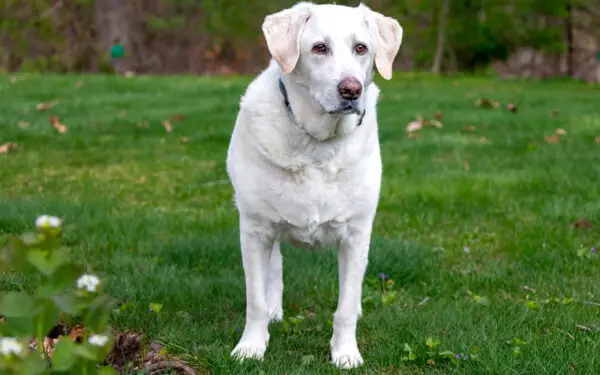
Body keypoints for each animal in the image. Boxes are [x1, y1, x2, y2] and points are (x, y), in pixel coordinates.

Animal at [226, 0, 404, 370]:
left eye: (361, 48)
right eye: (319, 48)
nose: (351, 90)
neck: (318, 145)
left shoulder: (356, 235)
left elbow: (346, 307)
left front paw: (345, 353)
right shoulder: (254, 230)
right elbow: (255, 299)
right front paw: (251, 347)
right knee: (274, 269)